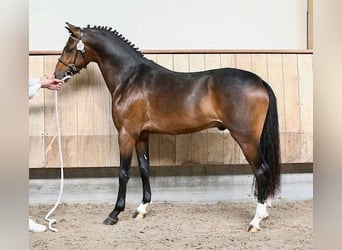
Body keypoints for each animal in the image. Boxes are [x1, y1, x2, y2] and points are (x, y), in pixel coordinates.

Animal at [54, 22, 280, 231]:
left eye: (69, 48)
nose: (57, 75)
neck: (130, 79)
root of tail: (259, 81)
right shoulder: (142, 135)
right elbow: (144, 169)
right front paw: (141, 209)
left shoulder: (126, 134)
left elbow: (123, 172)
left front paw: (114, 214)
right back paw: (264, 213)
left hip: (246, 138)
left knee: (261, 170)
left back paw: (255, 220)